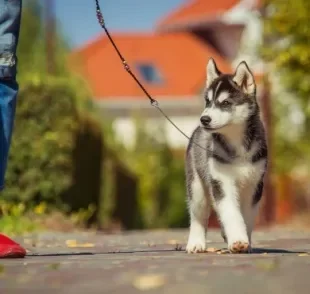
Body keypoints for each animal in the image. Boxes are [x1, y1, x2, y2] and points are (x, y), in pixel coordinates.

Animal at [185, 58, 268, 253]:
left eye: (225, 103)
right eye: (207, 101)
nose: (204, 119)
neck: (237, 143)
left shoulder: (254, 185)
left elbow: (246, 217)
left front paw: (245, 242)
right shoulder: (222, 181)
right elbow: (231, 212)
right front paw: (237, 240)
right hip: (197, 186)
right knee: (198, 216)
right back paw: (196, 243)